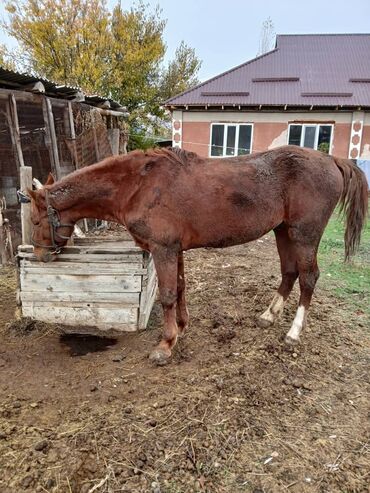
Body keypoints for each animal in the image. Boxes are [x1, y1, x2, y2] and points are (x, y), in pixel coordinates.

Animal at [27, 144, 368, 364]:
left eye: (35, 220)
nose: (42, 255)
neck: (137, 185)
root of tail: (332, 159)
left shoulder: (163, 249)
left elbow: (166, 294)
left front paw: (165, 345)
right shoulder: (174, 249)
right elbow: (179, 288)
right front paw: (180, 327)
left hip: (304, 235)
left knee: (309, 277)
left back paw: (294, 332)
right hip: (283, 231)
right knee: (290, 272)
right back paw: (268, 316)